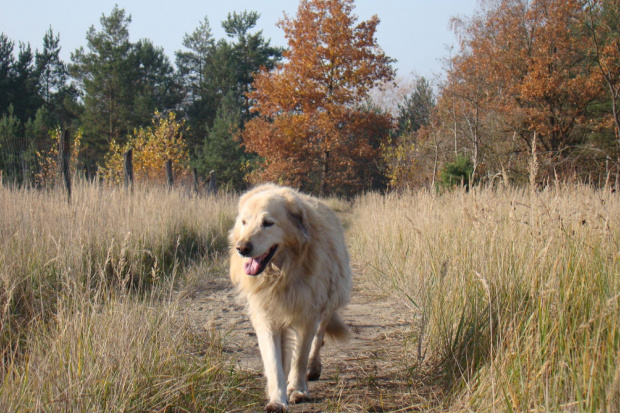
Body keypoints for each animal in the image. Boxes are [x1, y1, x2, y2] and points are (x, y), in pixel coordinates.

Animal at [229, 184, 354, 412]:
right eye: (244, 222)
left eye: (268, 223)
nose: (242, 249)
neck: (282, 274)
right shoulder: (267, 317)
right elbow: (274, 362)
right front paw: (277, 398)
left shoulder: (308, 316)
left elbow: (300, 357)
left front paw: (297, 390)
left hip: (327, 305)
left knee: (318, 339)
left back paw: (313, 368)